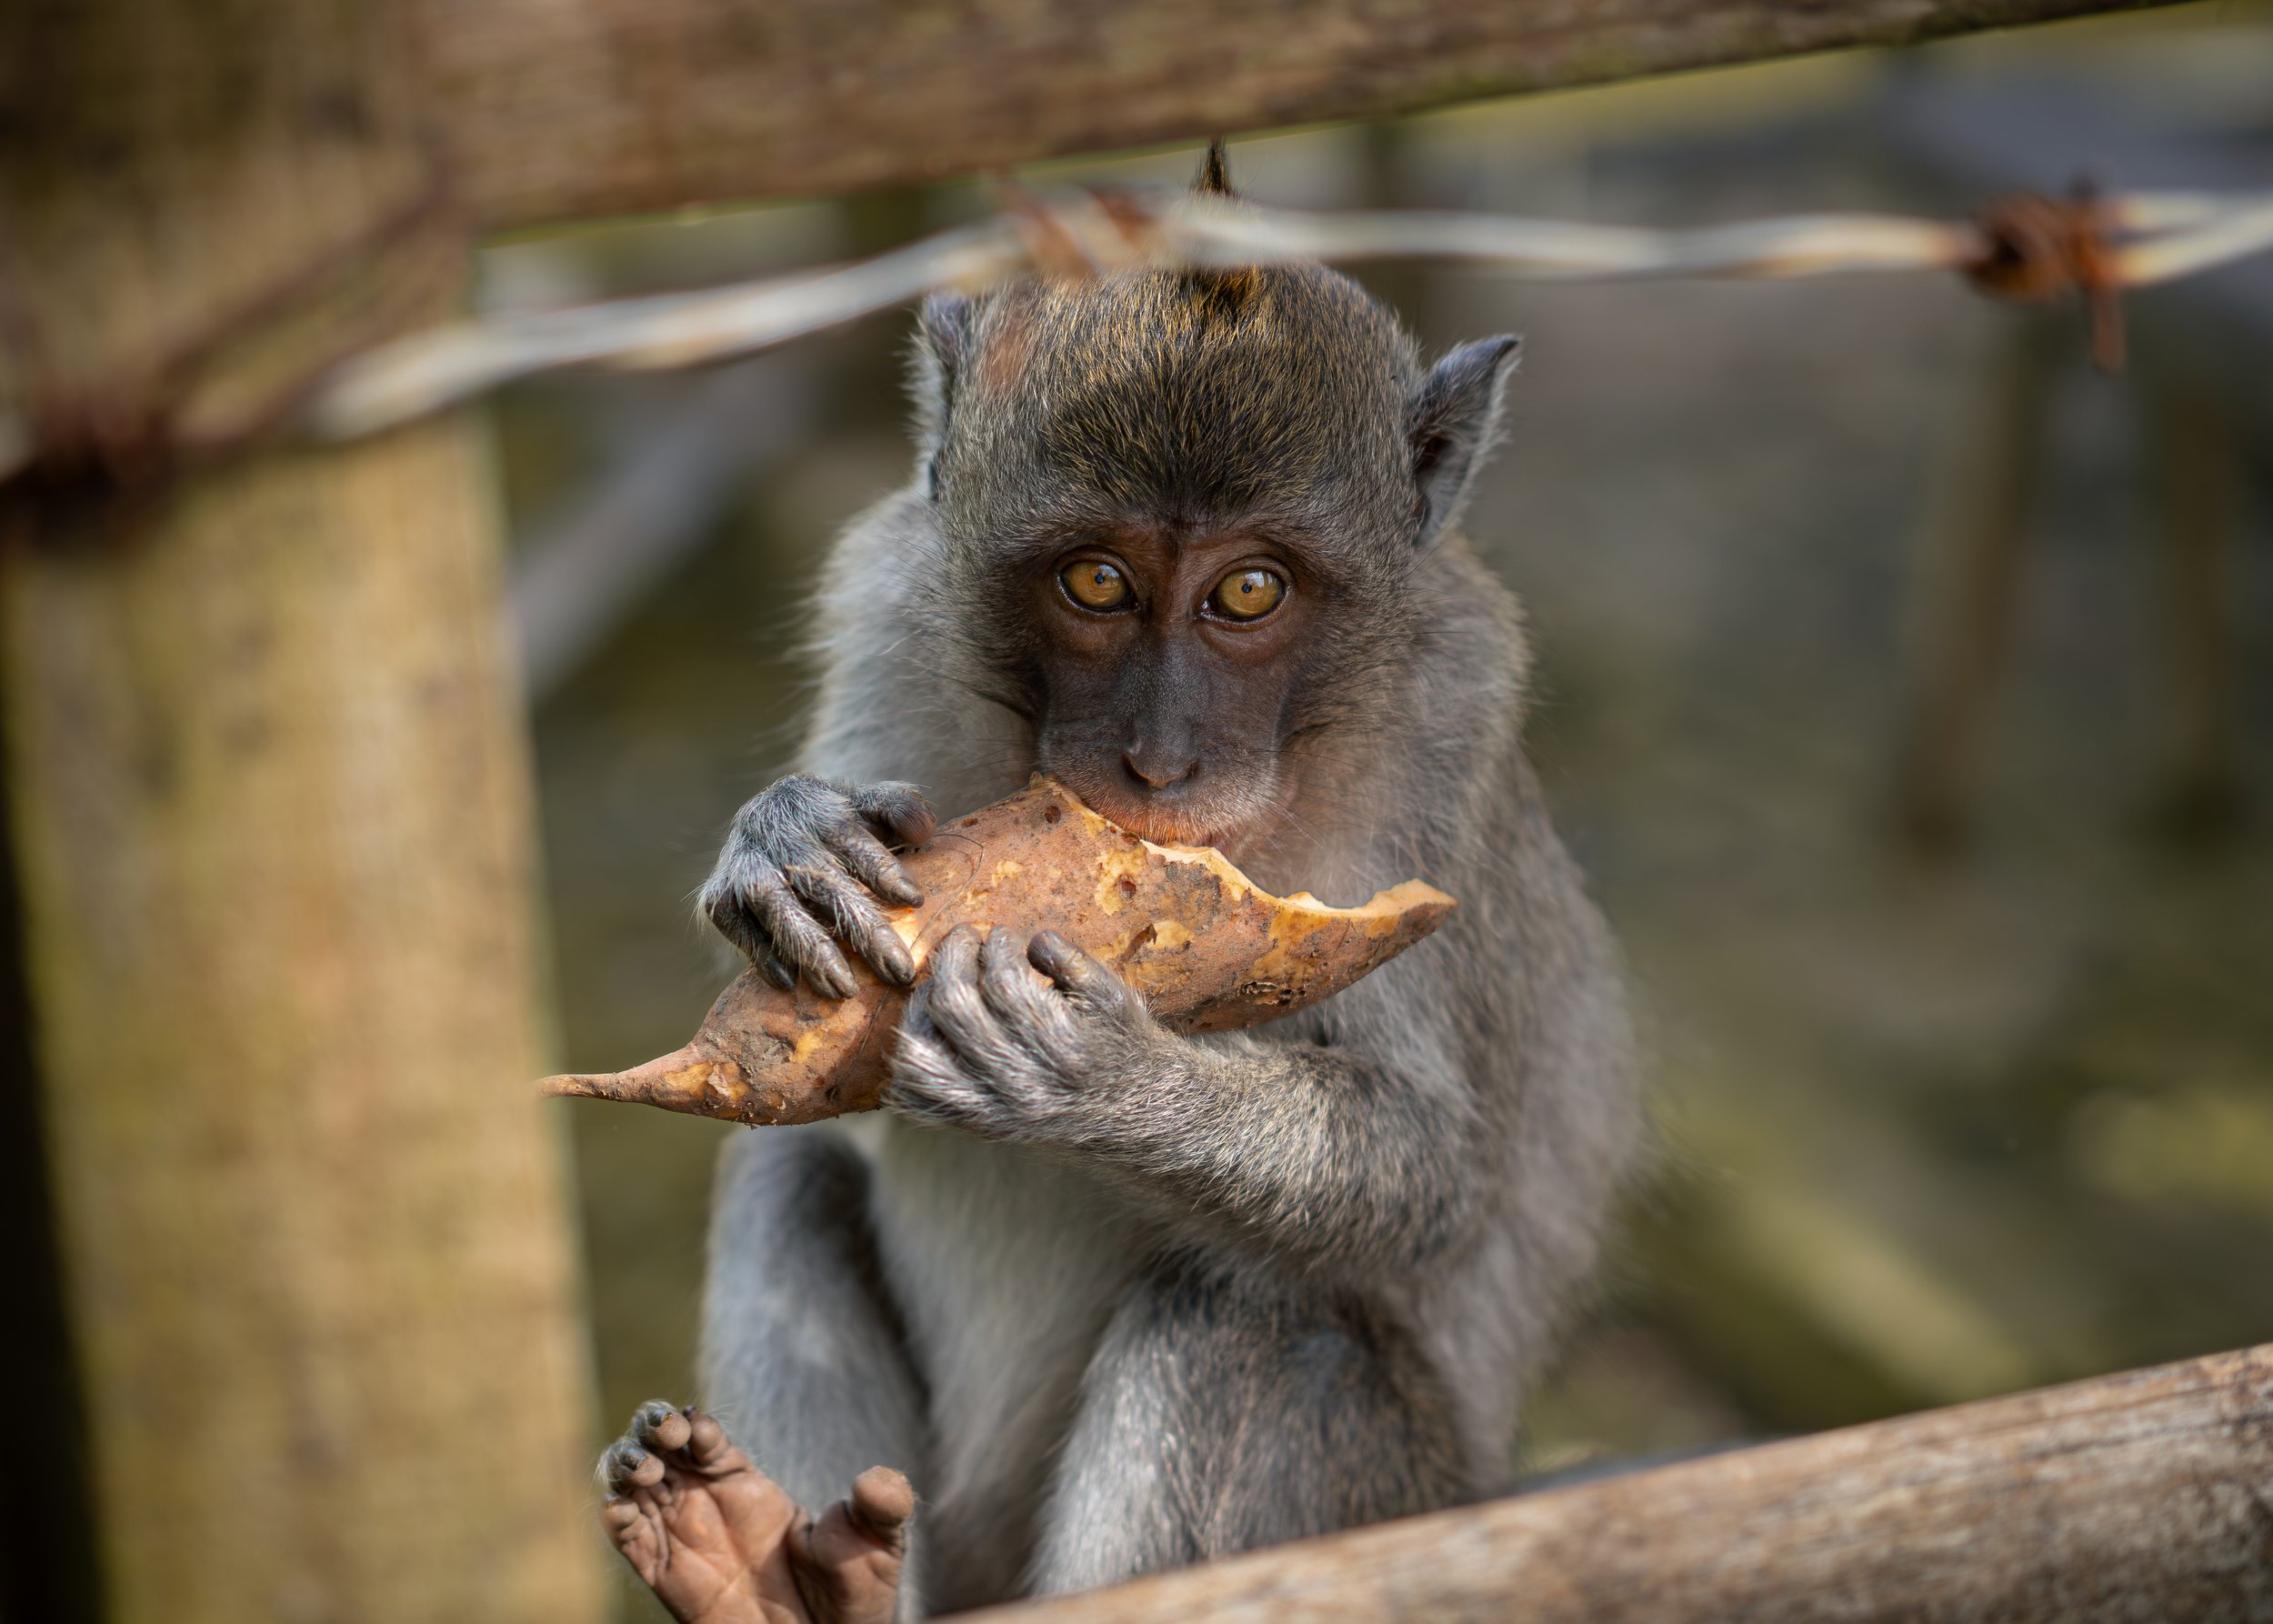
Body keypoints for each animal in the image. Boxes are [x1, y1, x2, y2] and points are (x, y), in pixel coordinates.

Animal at [599, 145, 1639, 1624]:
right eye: (1097, 580)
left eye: (1249, 592)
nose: (1158, 757)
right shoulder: (886, 595)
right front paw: (783, 842)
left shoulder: (1452, 724)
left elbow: (1434, 1171)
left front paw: (1105, 1082)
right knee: (789, 1166)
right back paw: (770, 1573)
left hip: (1403, 1492)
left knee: (1252, 1316)